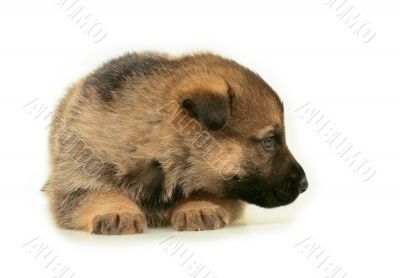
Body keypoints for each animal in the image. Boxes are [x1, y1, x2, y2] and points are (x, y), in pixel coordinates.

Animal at [43, 52, 308, 235]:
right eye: (269, 141)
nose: (305, 185)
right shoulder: (74, 182)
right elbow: (97, 193)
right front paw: (115, 210)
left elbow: (208, 190)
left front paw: (198, 206)